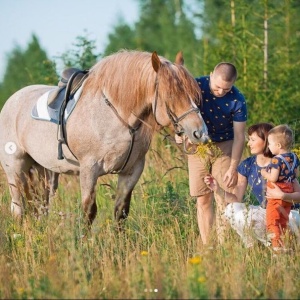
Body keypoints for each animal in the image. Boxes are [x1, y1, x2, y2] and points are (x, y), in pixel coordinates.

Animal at [0, 50, 209, 230]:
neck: (114, 116)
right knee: (19, 209)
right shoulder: (89, 170)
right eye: (171, 94)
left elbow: (121, 212)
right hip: (15, 171)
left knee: (40, 207)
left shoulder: (131, 171)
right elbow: (88, 212)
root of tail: (11, 101)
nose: (200, 133)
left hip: (45, 173)